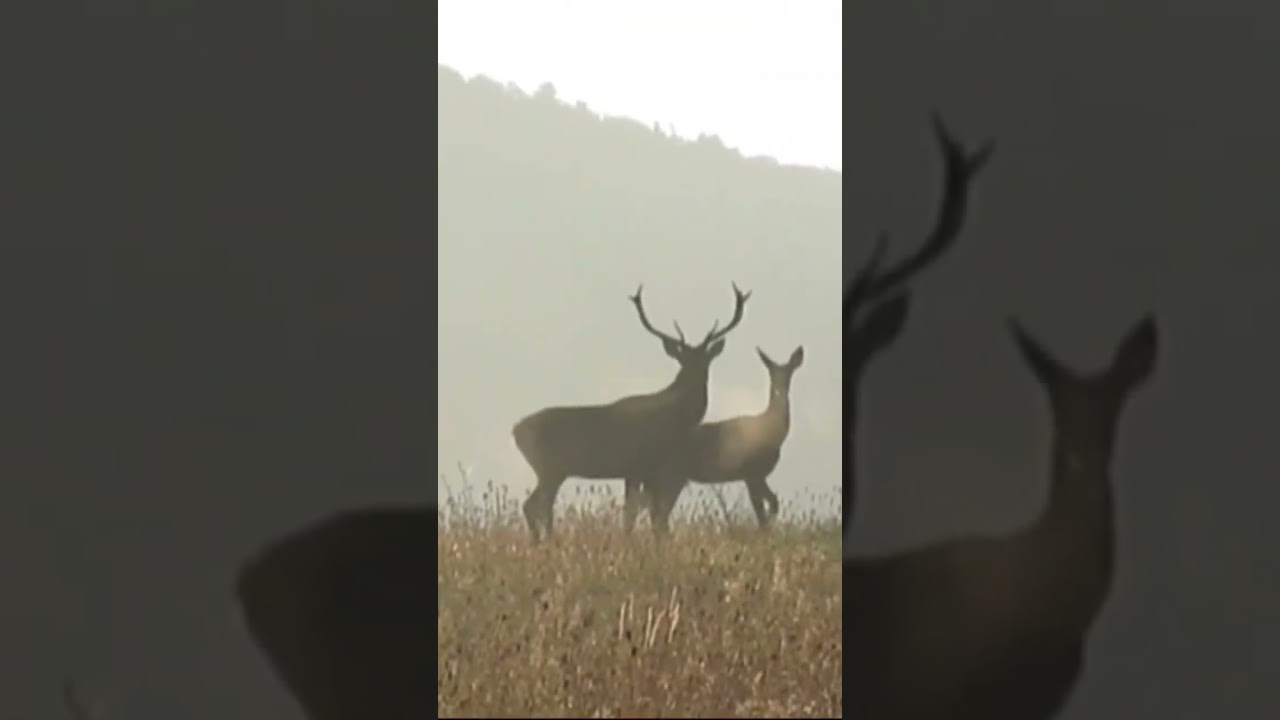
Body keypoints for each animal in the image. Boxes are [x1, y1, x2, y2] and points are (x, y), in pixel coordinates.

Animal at [513, 282, 750, 542]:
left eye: (706, 360)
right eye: (683, 360)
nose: (697, 379)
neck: (675, 416)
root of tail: (516, 430)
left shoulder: (643, 471)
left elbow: (637, 514)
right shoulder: (640, 465)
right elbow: (636, 514)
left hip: (552, 470)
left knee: (540, 506)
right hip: (549, 468)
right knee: (533, 505)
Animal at [623, 345, 804, 531]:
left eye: (790, 373)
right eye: (770, 373)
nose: (780, 392)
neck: (771, 432)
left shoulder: (759, 474)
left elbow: (773, 503)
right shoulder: (751, 472)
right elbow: (761, 515)